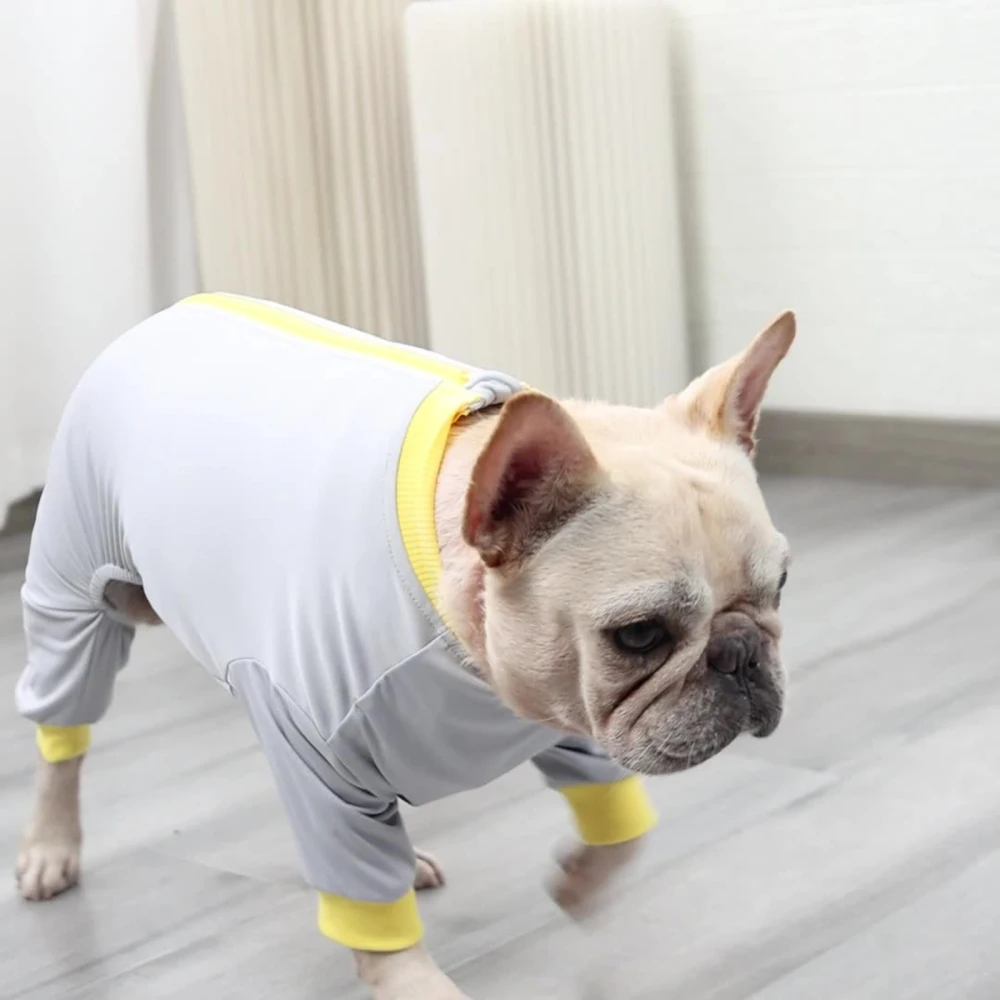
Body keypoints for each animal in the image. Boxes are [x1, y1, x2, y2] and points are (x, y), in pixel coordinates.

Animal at [14, 294, 794, 999]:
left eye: (780, 587)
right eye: (638, 635)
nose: (741, 654)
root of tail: (169, 314)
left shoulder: (560, 708)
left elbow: (616, 825)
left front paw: (580, 883)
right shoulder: (323, 758)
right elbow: (374, 917)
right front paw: (413, 976)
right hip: (75, 600)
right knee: (63, 733)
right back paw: (50, 848)